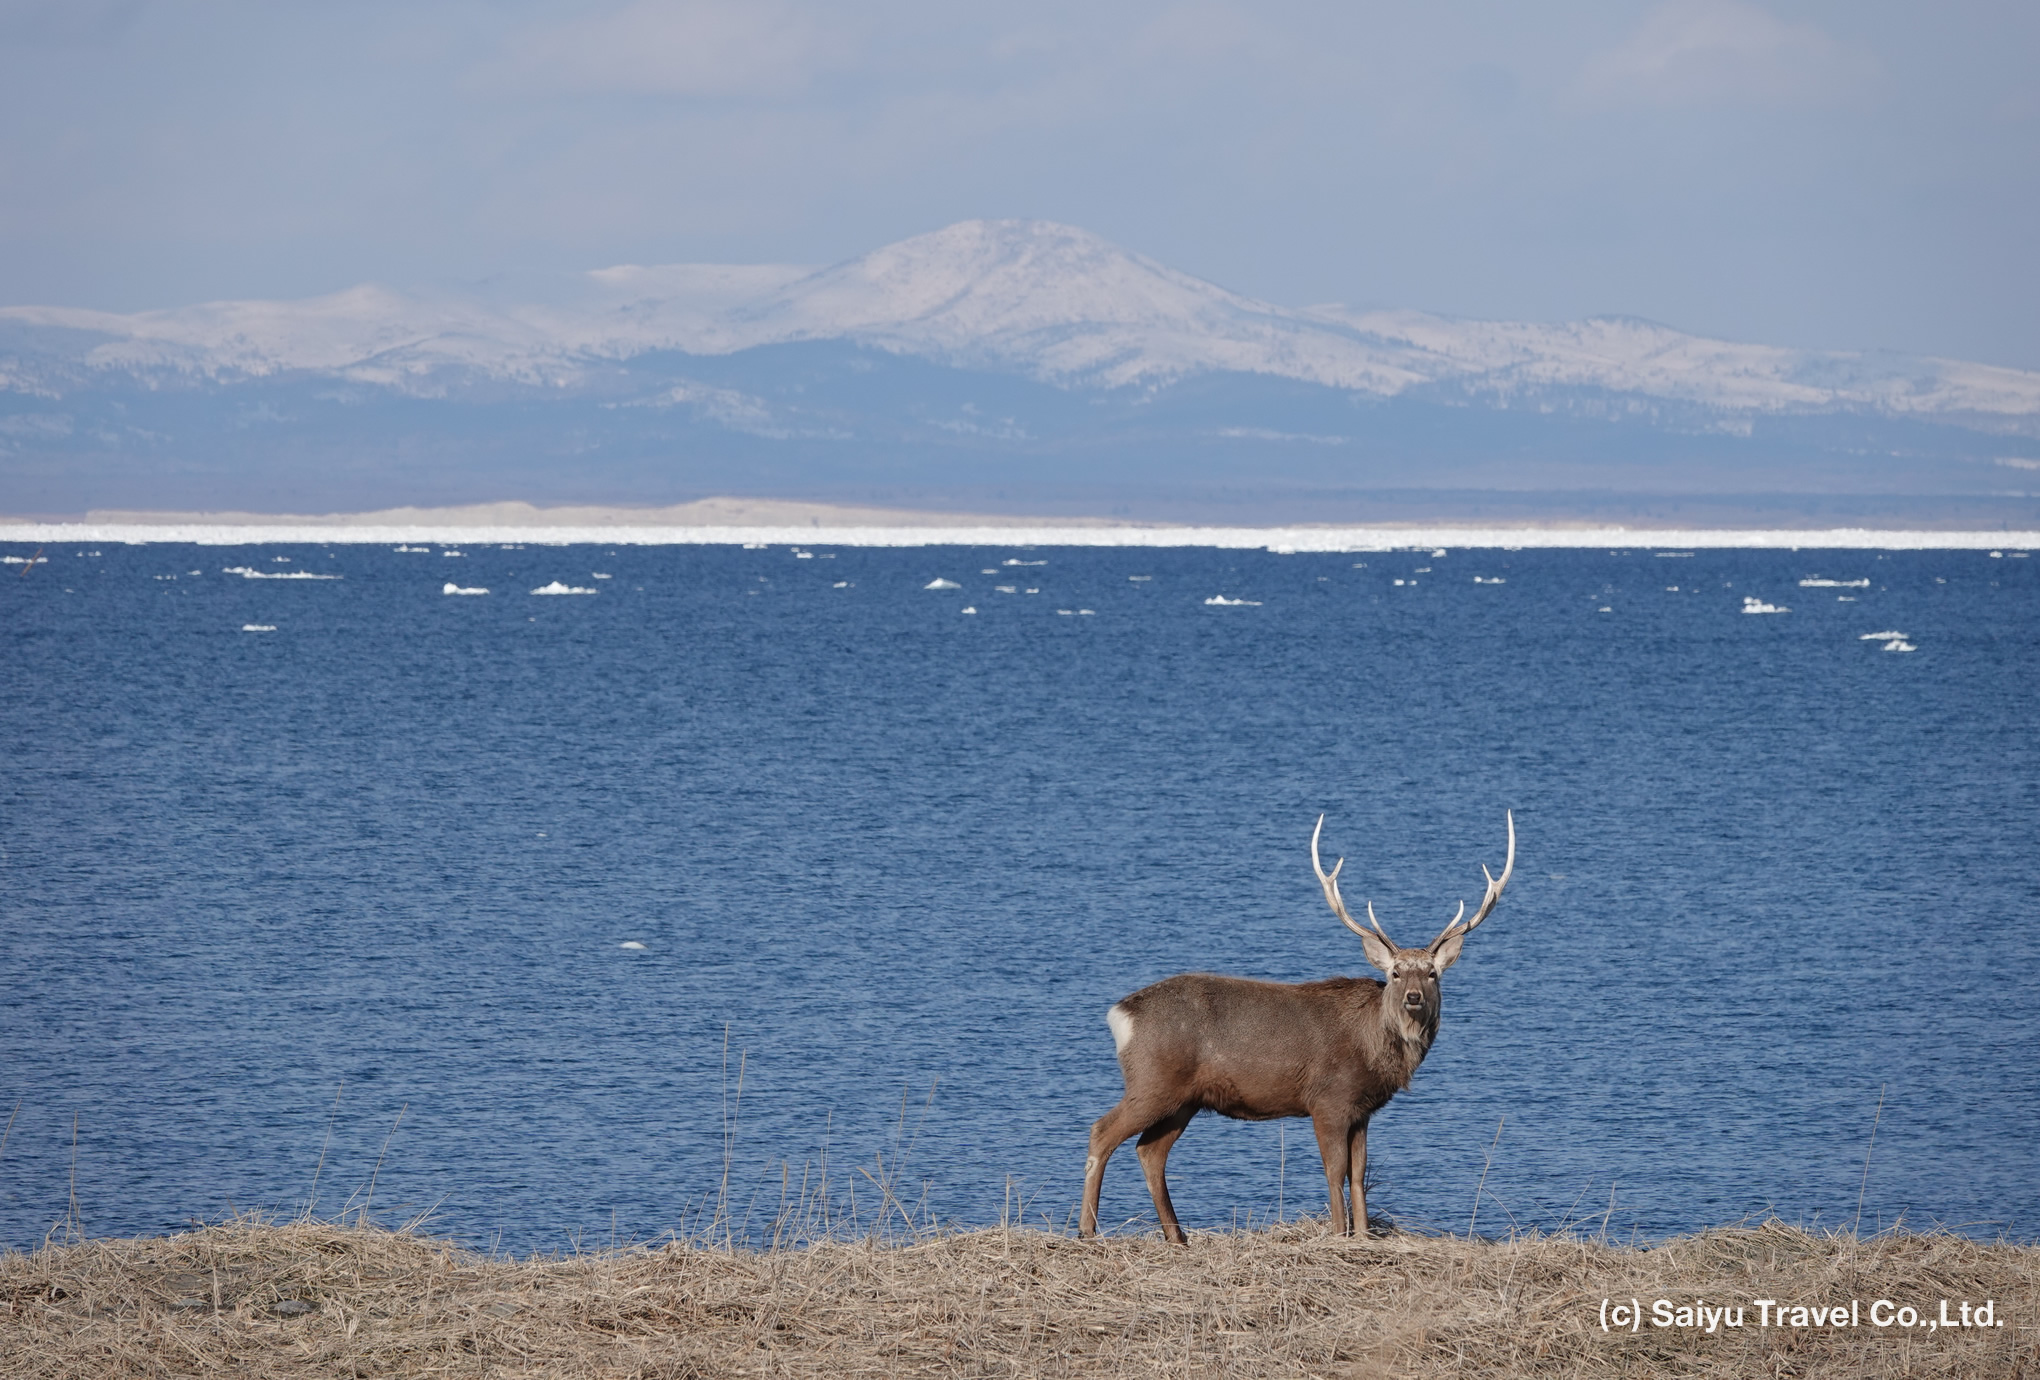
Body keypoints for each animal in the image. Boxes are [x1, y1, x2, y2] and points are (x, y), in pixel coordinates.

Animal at [1077, 812, 1515, 1244]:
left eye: (1431, 973)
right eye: (1394, 973)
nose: (1413, 997)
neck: (1373, 1047)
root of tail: (1120, 1014)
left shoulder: (1363, 1110)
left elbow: (1359, 1174)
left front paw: (1361, 1235)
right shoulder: (1327, 1099)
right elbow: (1335, 1172)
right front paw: (1338, 1234)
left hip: (1184, 1099)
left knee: (1150, 1151)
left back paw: (1177, 1236)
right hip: (1153, 1080)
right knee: (1102, 1131)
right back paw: (1087, 1229)